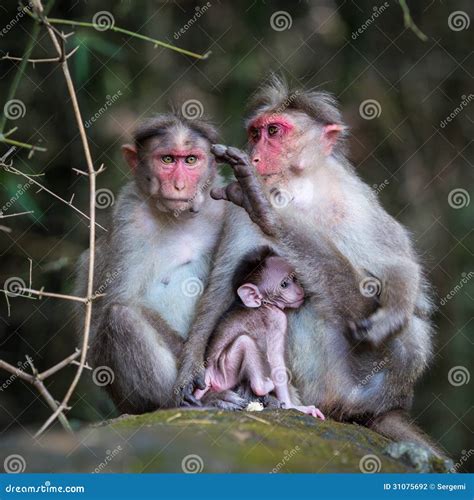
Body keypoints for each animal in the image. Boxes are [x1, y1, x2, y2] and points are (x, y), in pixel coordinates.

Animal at [74, 113, 228, 414]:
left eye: (190, 160)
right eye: (167, 159)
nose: (179, 185)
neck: (179, 218)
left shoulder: (227, 209)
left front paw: (193, 360)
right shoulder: (129, 218)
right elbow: (121, 301)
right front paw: (190, 370)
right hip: (128, 400)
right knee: (120, 316)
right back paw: (185, 401)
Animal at [194, 248, 324, 420]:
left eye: (295, 279)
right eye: (284, 284)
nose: (299, 290)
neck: (265, 304)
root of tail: (207, 374)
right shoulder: (278, 319)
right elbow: (276, 359)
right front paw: (294, 406)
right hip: (223, 372)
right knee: (245, 342)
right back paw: (261, 387)